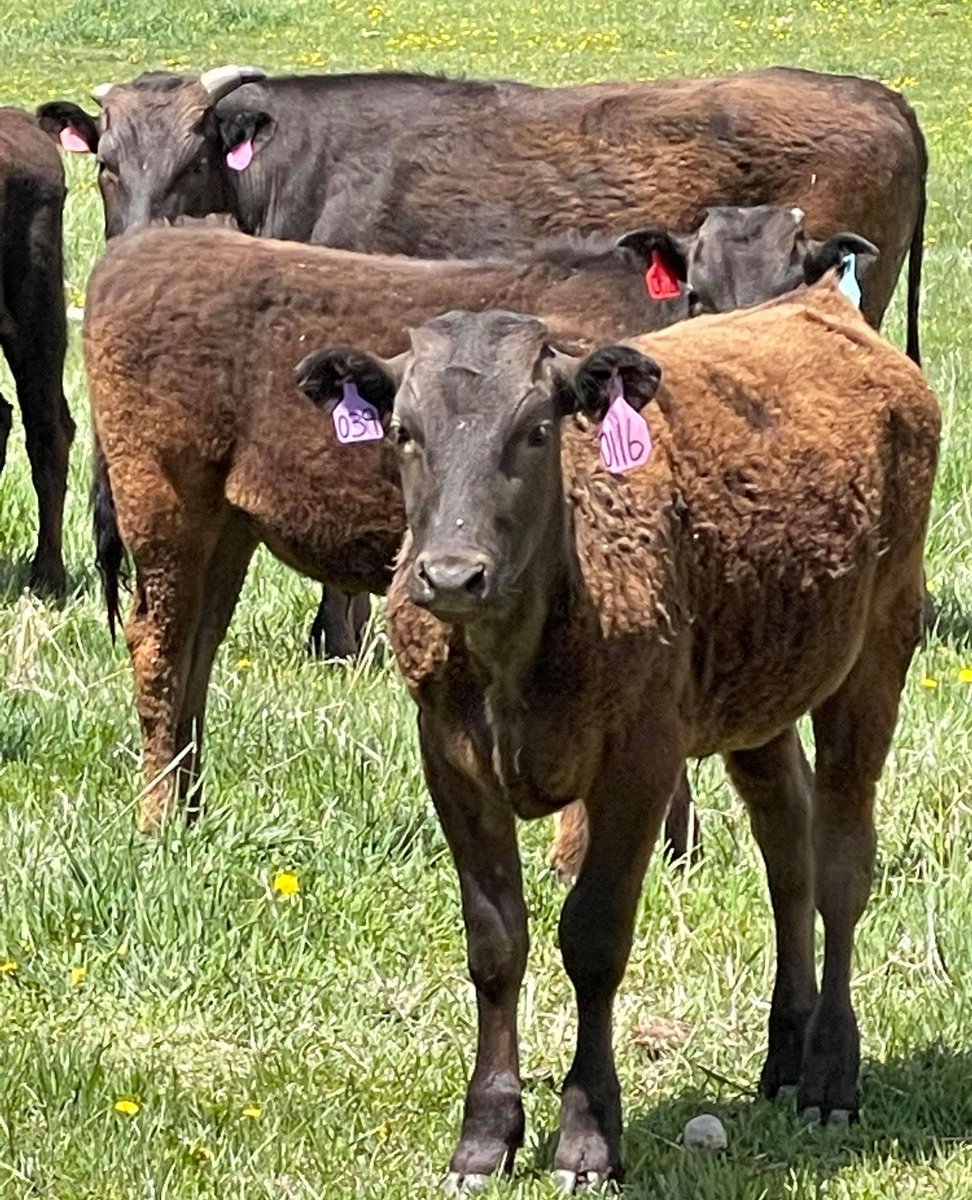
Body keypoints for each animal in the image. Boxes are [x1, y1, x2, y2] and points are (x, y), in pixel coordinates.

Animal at [83, 212, 872, 835]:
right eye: (698, 292)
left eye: (795, 279)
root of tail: (139, 249)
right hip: (166, 507)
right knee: (158, 643)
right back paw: (159, 819)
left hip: (228, 527)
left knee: (198, 649)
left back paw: (189, 809)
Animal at [296, 285, 939, 1191]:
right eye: (403, 431)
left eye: (536, 428)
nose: (453, 574)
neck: (515, 650)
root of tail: (820, 306)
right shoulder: (450, 759)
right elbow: (496, 942)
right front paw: (485, 1135)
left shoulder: (639, 761)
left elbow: (594, 939)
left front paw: (588, 1138)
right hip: (761, 695)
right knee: (789, 855)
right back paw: (784, 1054)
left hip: (877, 654)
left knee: (844, 865)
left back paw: (829, 1075)